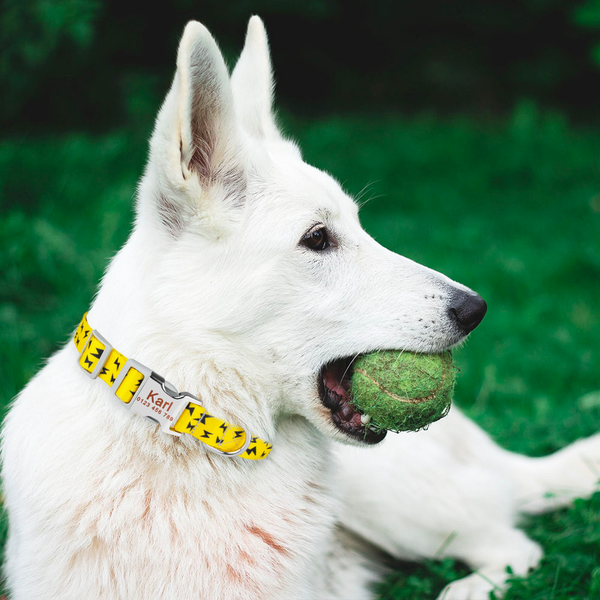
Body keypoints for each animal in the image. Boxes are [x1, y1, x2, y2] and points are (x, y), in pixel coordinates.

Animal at [2, 16, 596, 596]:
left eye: (359, 225)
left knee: (513, 544)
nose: (476, 308)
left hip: (393, 500)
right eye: (317, 238)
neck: (187, 427)